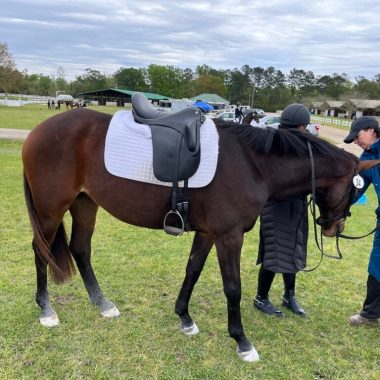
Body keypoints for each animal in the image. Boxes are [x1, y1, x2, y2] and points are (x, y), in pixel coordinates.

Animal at [22, 108, 364, 360]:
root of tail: (38, 131)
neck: (252, 164)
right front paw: (242, 341)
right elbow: (233, 288)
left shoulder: (208, 233)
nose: (335, 227)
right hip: (51, 210)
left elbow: (193, 270)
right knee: (41, 250)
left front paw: (184, 318)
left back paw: (102, 303)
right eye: (355, 190)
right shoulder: (229, 236)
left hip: (85, 204)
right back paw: (46, 310)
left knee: (80, 249)